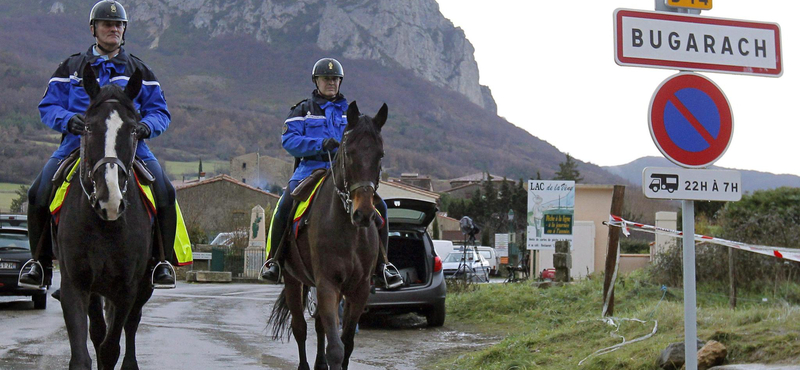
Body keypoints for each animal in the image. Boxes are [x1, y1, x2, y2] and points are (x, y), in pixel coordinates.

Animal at [56, 62, 155, 368]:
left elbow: (111, 348)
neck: (105, 226)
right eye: (87, 127)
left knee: (131, 326)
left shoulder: (127, 288)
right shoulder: (75, 283)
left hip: (142, 288)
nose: (109, 201)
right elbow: (84, 351)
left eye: (134, 130)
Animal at [270, 101, 390, 370]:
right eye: (349, 152)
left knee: (319, 326)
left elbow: (347, 344)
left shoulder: (359, 289)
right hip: (293, 280)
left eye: (380, 155)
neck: (349, 231)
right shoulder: (327, 283)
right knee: (300, 328)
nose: (364, 214)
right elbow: (335, 348)